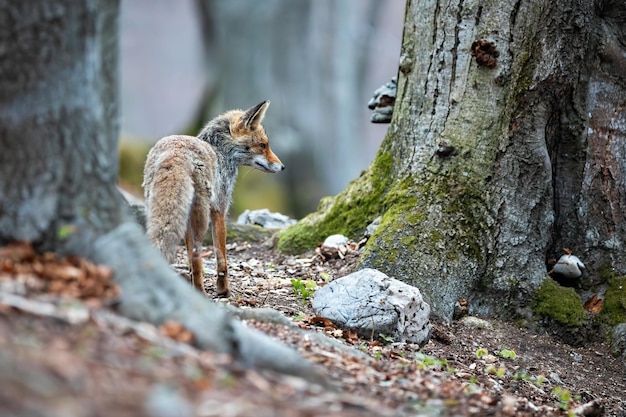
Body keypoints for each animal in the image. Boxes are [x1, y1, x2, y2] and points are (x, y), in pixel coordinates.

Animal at [143, 101, 282, 296]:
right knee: (196, 255)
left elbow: (191, 262)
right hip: (201, 218)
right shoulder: (219, 210)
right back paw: (201, 292)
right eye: (263, 145)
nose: (282, 167)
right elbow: (221, 258)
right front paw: (223, 289)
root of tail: (175, 154)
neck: (220, 153)